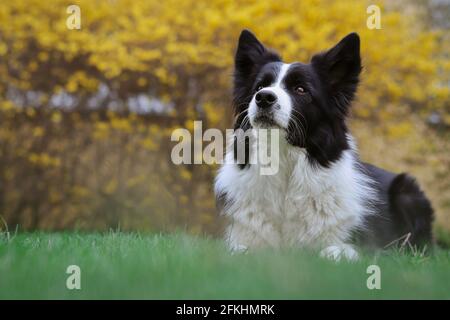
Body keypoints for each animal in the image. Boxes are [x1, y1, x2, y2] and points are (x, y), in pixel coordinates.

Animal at [216, 29, 434, 260]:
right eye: (259, 86)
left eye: (301, 89)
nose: (264, 97)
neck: (285, 161)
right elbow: (238, 250)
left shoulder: (369, 246)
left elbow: (333, 250)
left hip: (407, 191)